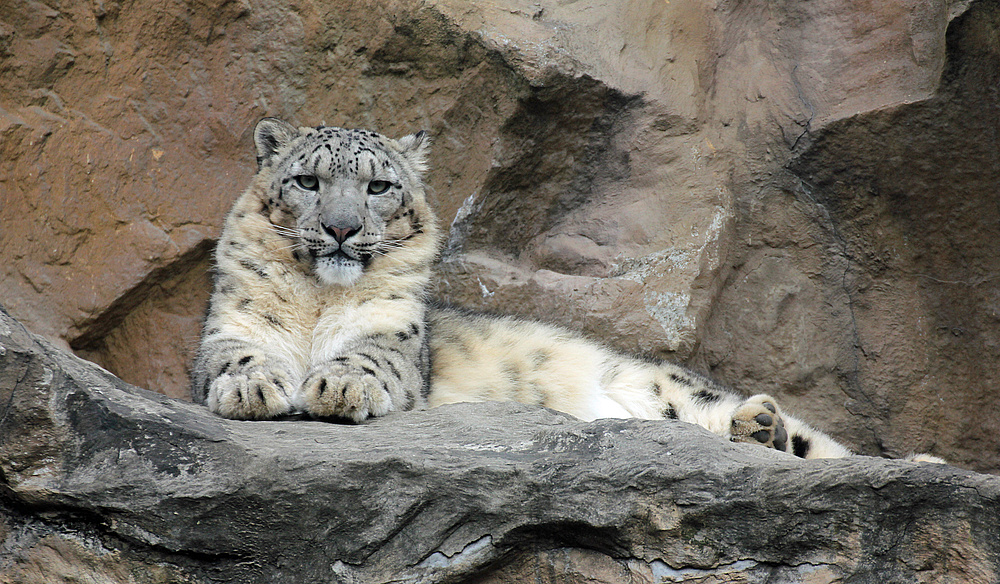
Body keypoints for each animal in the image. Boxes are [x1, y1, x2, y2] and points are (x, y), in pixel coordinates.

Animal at [191, 118, 940, 464]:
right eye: (307, 181)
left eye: (378, 186)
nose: (342, 228)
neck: (321, 301)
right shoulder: (226, 330)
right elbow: (235, 356)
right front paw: (254, 387)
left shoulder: (398, 344)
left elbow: (371, 357)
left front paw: (339, 385)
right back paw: (758, 428)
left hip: (678, 388)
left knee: (822, 449)